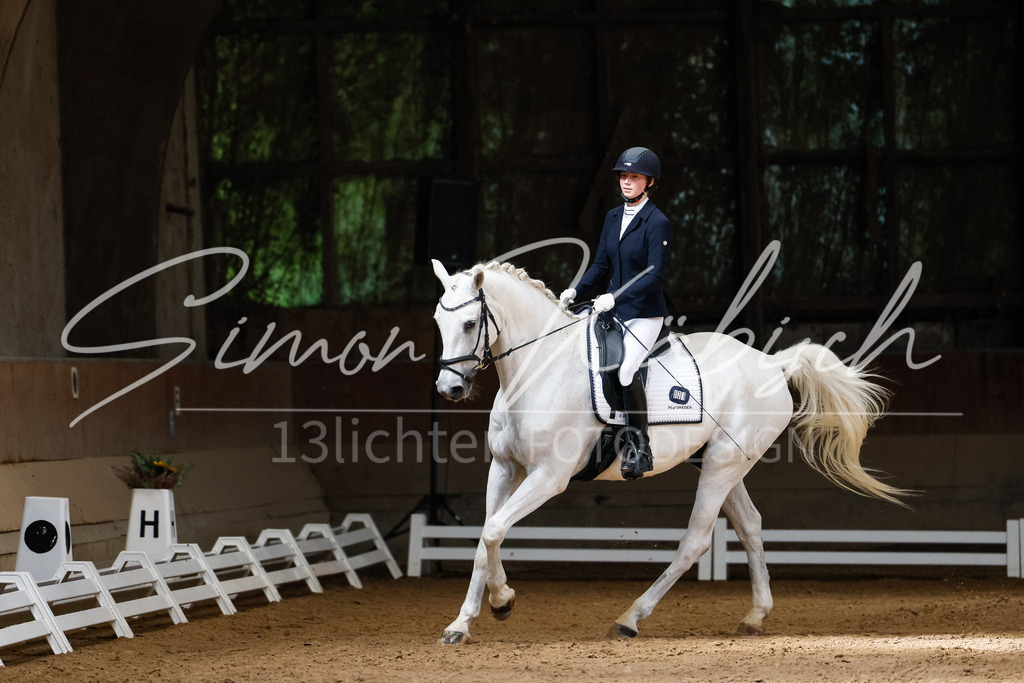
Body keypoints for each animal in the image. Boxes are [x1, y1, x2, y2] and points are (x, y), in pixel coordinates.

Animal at [430, 258, 905, 644]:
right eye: (438, 320)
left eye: (470, 324)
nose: (449, 389)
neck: (540, 367)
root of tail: (771, 363)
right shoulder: (504, 468)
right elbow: (486, 535)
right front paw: (463, 622)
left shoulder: (549, 476)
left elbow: (495, 530)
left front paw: (503, 600)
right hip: (724, 463)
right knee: (750, 526)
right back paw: (755, 616)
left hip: (722, 466)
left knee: (695, 542)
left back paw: (630, 619)